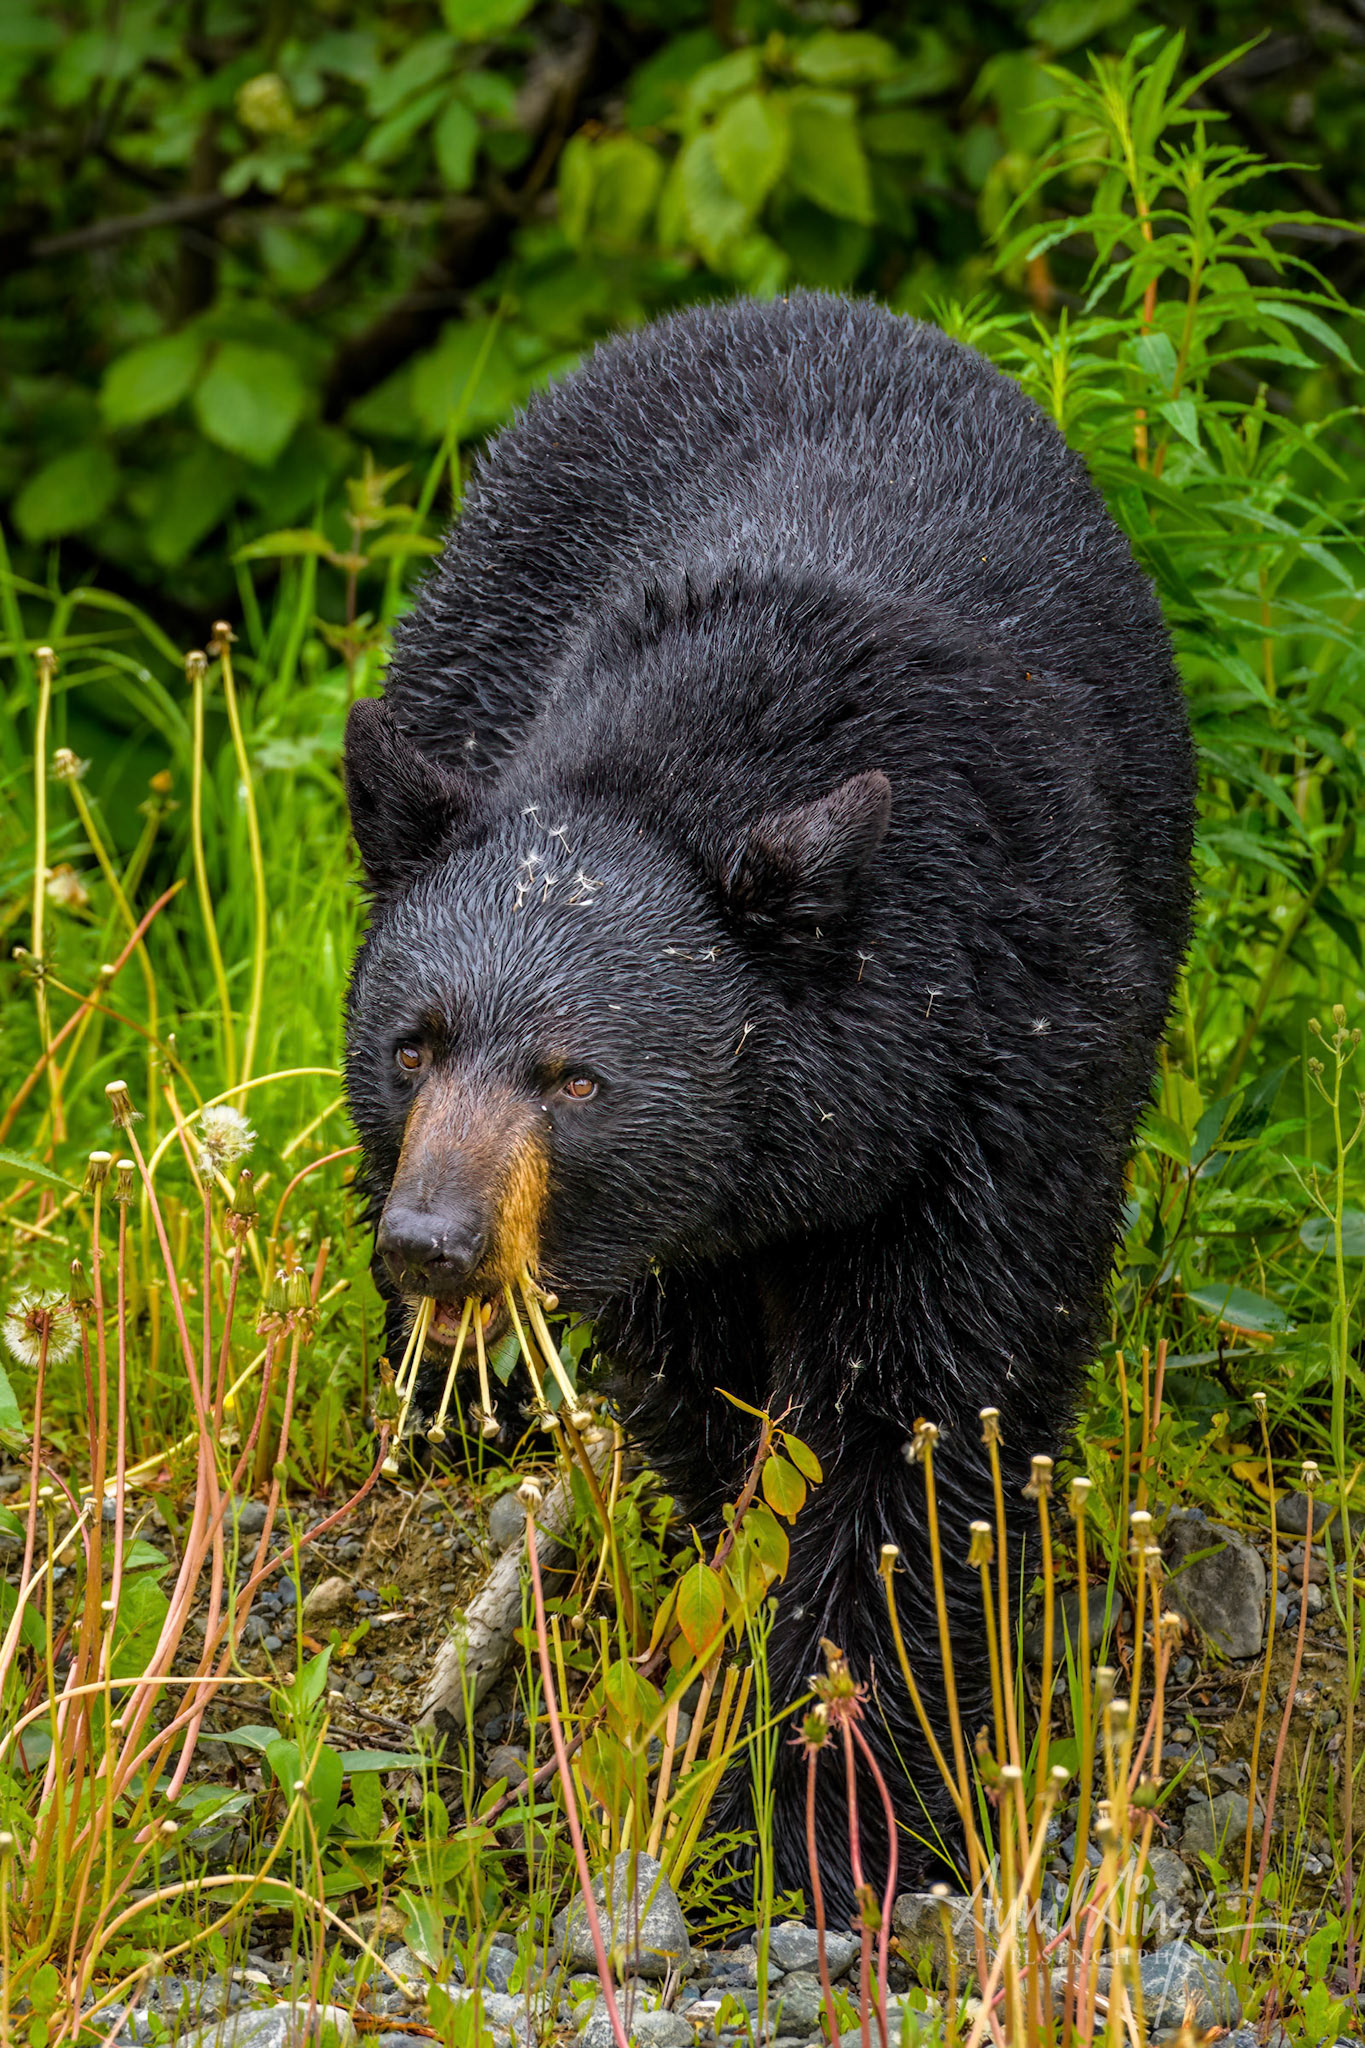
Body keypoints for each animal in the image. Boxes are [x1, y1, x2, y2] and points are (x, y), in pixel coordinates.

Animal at [342, 291, 1195, 1915]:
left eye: (577, 1074)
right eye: (414, 1046)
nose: (434, 1242)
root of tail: (761, 303)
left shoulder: (1005, 1075)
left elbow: (916, 1417)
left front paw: (835, 1809)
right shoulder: (666, 1239)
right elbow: (722, 1410)